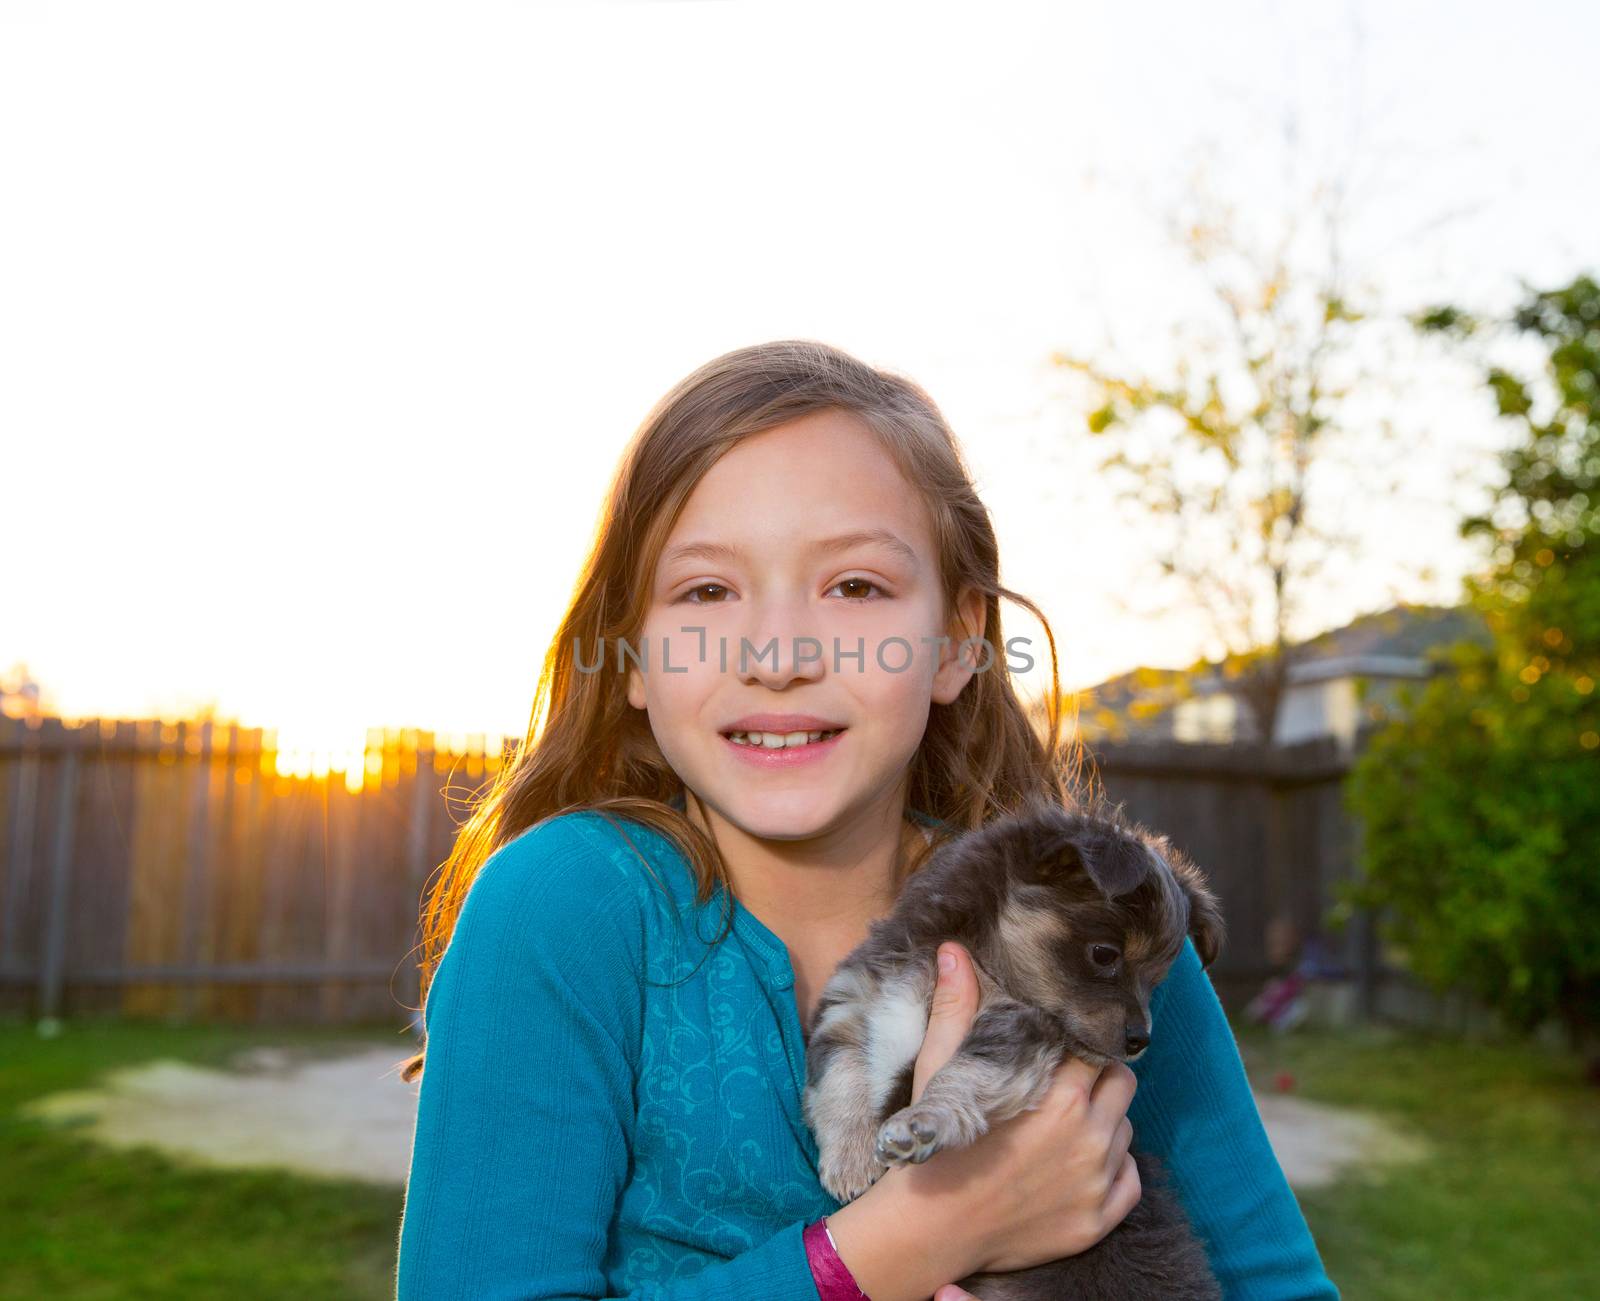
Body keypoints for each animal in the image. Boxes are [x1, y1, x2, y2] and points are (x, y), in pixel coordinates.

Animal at [800, 790, 1222, 1299]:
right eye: (1104, 954)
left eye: (1156, 982)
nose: (1141, 1039)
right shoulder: (851, 1002)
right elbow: (838, 1074)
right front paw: (850, 1158)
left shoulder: (1017, 1026)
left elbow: (965, 1071)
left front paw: (923, 1122)